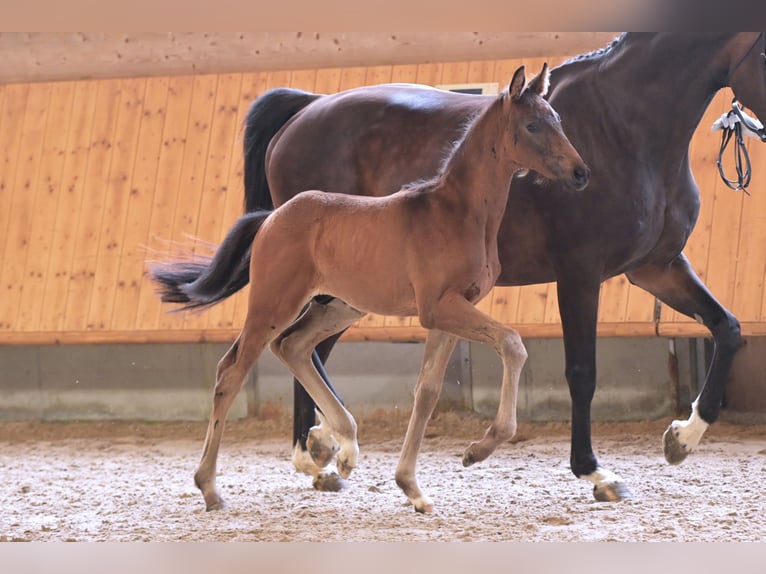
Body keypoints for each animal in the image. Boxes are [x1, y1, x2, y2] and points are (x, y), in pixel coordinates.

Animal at [153, 65, 592, 516]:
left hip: (339, 307)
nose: (581, 173)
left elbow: (427, 391)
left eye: (557, 118)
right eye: (533, 125)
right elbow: (512, 343)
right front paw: (479, 448)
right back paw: (211, 487)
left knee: (293, 347)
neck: (457, 213)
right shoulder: (439, 308)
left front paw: (413, 488)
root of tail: (272, 216)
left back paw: (342, 446)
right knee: (232, 370)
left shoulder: (452, 311)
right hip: (272, 305)